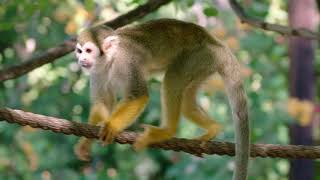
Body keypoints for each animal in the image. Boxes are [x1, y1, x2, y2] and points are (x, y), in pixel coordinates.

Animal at [74, 18, 249, 180]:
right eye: (79, 51)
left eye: (88, 50)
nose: (81, 60)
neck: (110, 60)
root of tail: (216, 43)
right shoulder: (96, 71)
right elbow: (102, 101)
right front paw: (86, 142)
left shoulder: (127, 62)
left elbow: (139, 95)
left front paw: (111, 126)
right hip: (204, 63)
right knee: (185, 98)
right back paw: (214, 127)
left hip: (201, 54)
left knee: (173, 77)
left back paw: (167, 131)